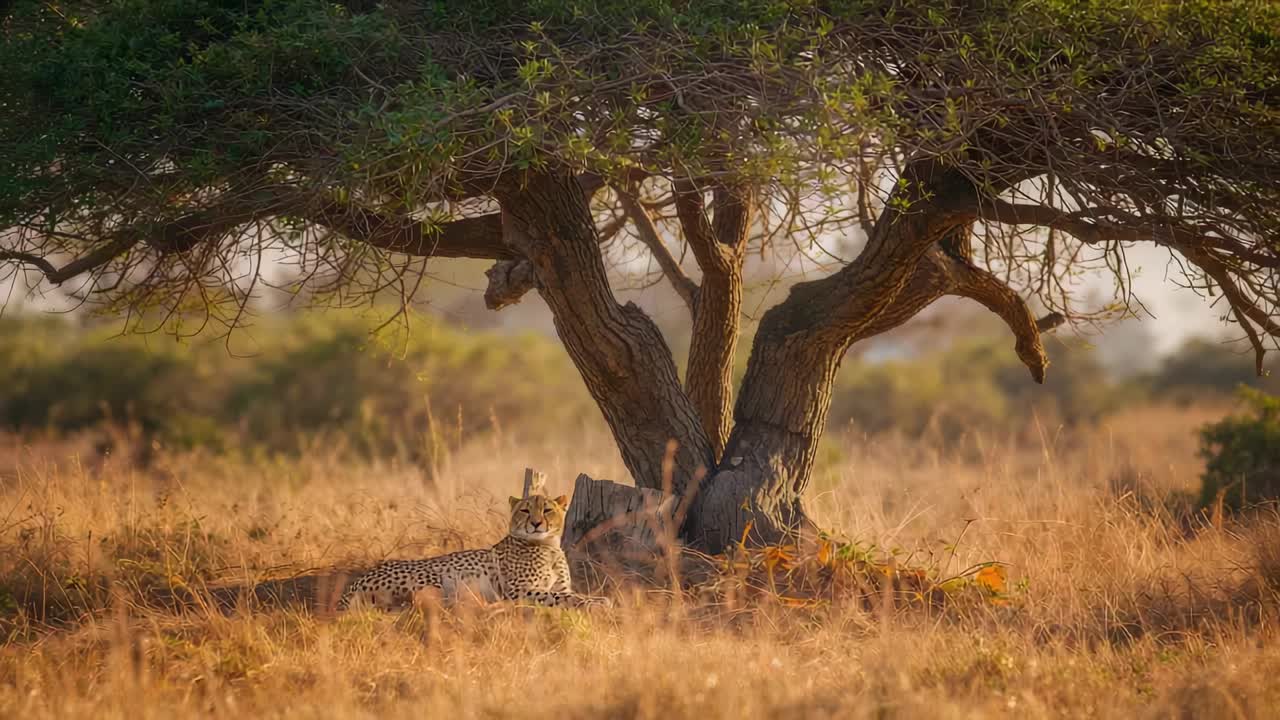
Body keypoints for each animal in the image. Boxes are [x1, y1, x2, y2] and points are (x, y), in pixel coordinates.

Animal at [336, 494, 610, 611]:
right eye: (524, 510)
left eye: (547, 509)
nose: (535, 523)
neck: (547, 545)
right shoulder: (519, 589)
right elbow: (560, 597)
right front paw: (592, 602)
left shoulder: (559, 585)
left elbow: (570, 593)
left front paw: (597, 599)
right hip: (439, 576)